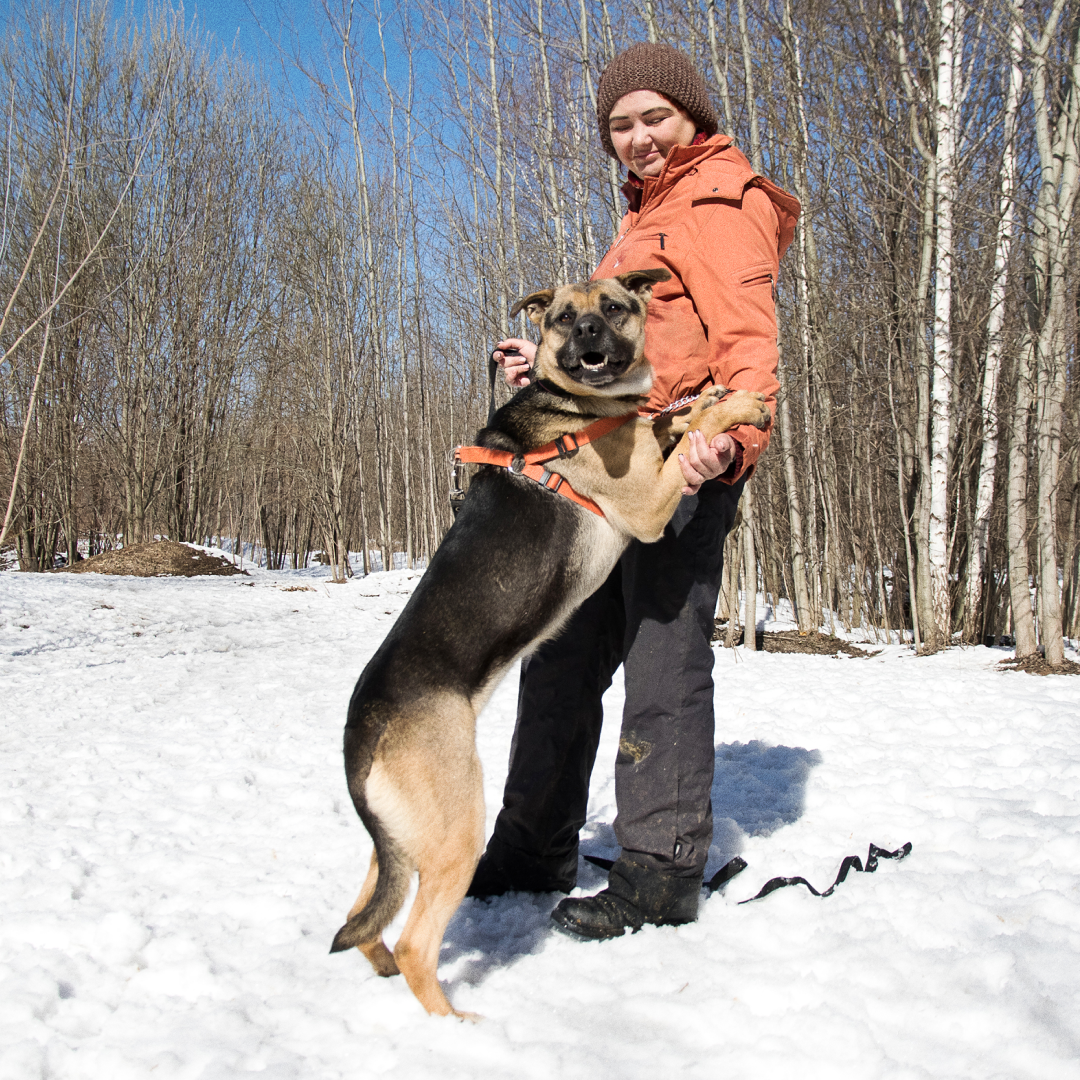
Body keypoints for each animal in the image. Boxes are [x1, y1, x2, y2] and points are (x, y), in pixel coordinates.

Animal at [328, 265, 768, 1015]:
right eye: (564, 317)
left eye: (615, 307)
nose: (589, 333)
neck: (585, 407)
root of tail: (364, 730)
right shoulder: (645, 504)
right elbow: (685, 430)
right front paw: (731, 408)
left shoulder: (647, 439)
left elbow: (672, 415)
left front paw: (717, 398)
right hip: (455, 826)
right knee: (416, 942)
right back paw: (457, 1022)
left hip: (401, 840)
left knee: (367, 918)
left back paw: (384, 972)